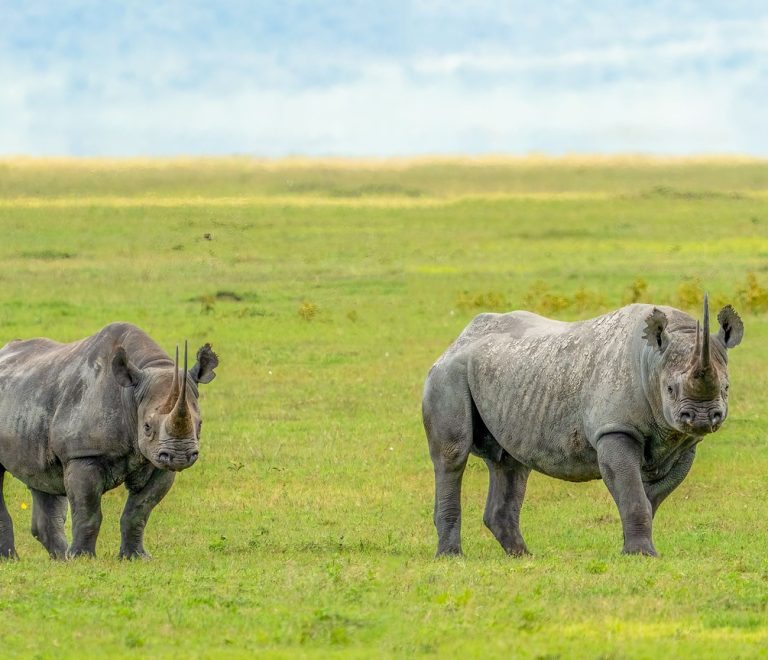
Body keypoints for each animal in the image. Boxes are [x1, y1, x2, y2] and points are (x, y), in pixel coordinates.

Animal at [0, 322, 218, 559]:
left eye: (200, 425)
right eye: (147, 427)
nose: (179, 456)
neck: (131, 396)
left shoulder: (157, 462)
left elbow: (139, 511)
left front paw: (136, 558)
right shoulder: (83, 454)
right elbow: (88, 513)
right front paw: (82, 559)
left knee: (43, 477)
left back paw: (61, 560)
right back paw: (13, 560)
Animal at [422, 297, 743, 557]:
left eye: (726, 388)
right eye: (671, 389)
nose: (702, 418)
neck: (653, 361)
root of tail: (459, 339)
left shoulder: (684, 443)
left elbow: (649, 498)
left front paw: (633, 549)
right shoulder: (615, 429)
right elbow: (632, 494)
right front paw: (642, 554)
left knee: (510, 462)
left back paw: (523, 556)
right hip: (449, 374)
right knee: (453, 456)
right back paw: (452, 557)